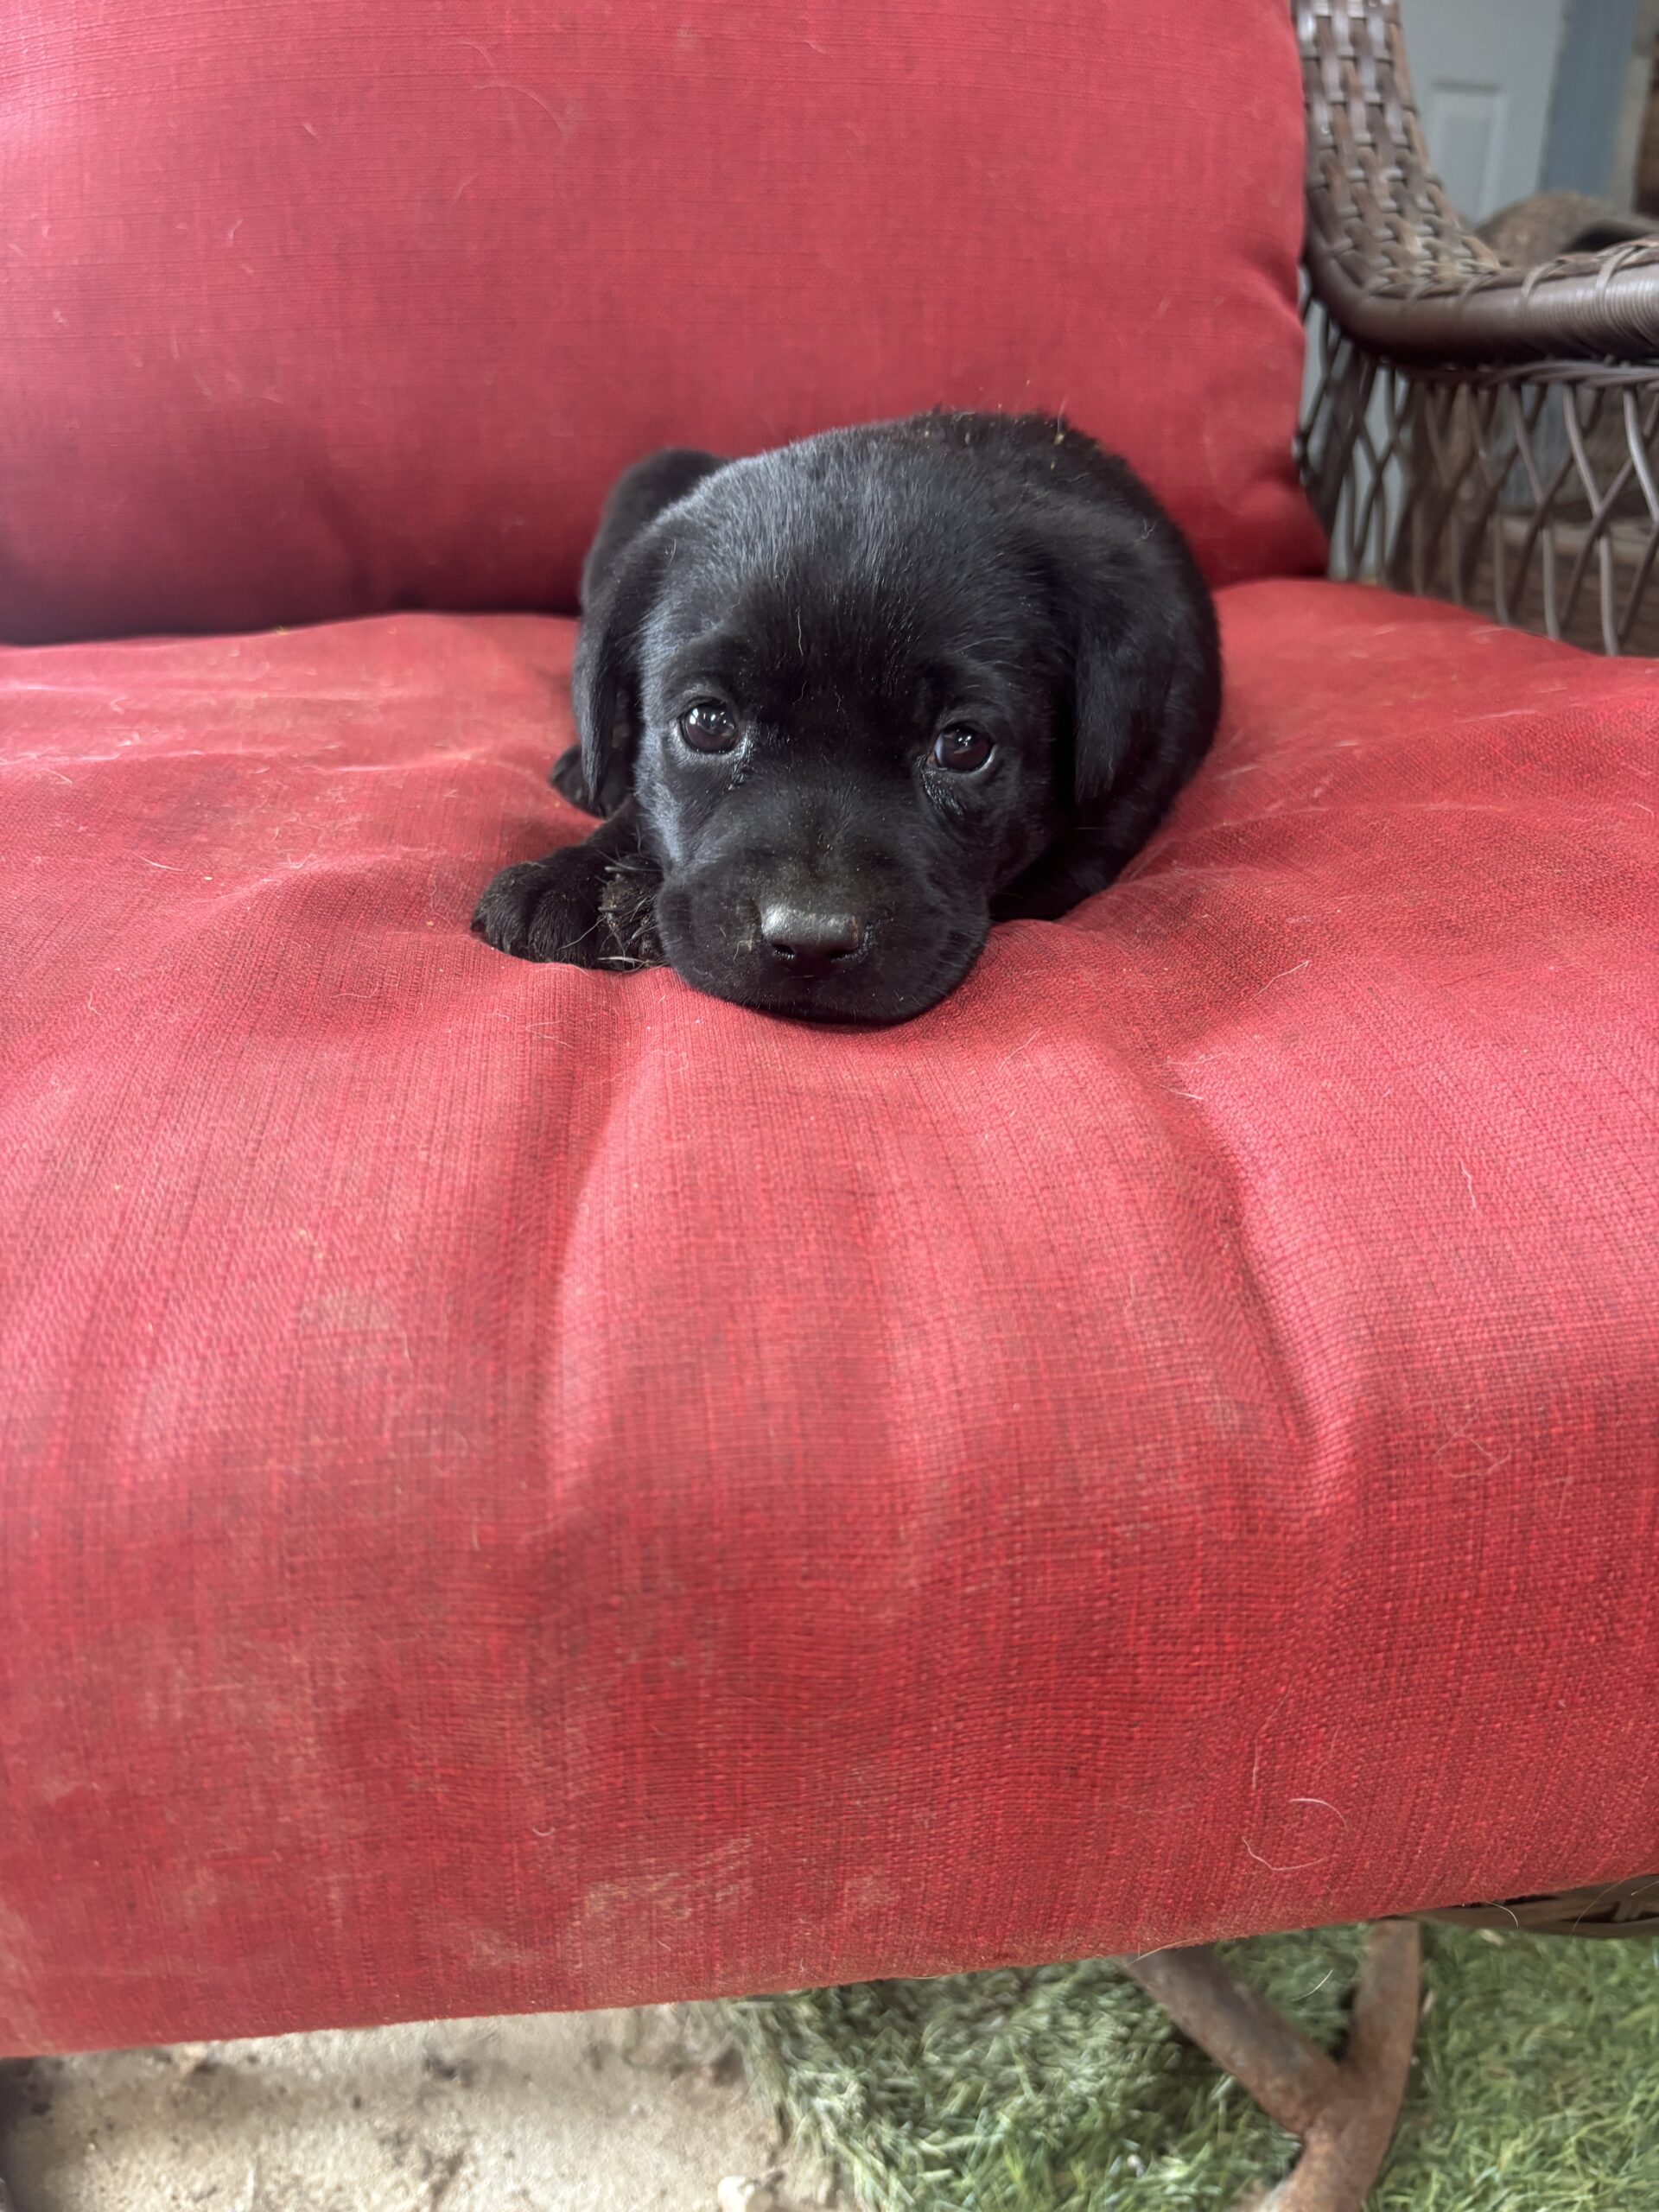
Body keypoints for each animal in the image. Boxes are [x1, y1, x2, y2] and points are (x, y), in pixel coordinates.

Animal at [472, 411, 1219, 1023]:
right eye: (708, 724)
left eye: (964, 746)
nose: (809, 943)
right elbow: (640, 799)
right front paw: (575, 877)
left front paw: (629, 900)